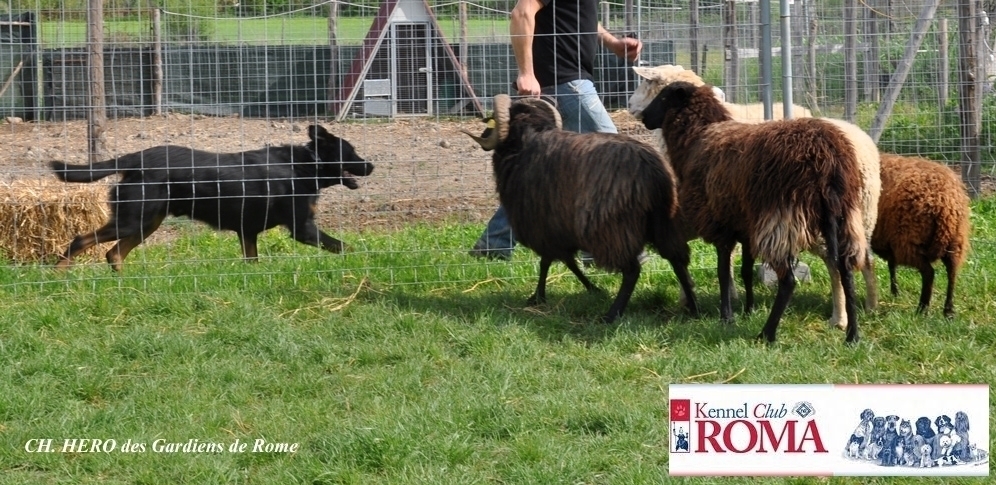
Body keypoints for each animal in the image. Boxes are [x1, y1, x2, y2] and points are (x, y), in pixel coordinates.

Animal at [50, 123, 372, 270]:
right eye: (352, 151)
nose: (371, 165)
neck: (307, 164)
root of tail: (136, 158)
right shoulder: (303, 228)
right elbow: (345, 247)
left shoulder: (247, 231)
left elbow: (252, 261)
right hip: (133, 219)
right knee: (80, 240)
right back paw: (59, 274)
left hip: (147, 222)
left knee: (114, 253)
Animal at [462, 93, 696, 324]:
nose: (483, 139)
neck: (524, 142)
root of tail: (653, 172)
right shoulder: (559, 229)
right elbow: (567, 262)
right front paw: (593, 289)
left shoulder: (544, 227)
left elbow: (550, 262)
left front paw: (539, 296)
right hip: (663, 223)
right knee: (677, 261)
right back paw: (693, 308)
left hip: (612, 230)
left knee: (632, 271)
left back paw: (611, 315)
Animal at [640, 81, 868, 342]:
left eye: (664, 97)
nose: (643, 116)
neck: (698, 137)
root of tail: (829, 157)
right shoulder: (745, 228)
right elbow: (745, 272)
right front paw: (748, 310)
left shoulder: (720, 224)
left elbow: (723, 273)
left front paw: (726, 317)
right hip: (846, 217)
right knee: (846, 272)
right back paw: (852, 335)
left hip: (782, 217)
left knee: (788, 280)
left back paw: (767, 334)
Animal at [876, 153, 968, 316]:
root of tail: (945, 202)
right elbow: (891, 264)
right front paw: (895, 292)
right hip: (956, 241)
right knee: (952, 272)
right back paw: (948, 310)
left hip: (909, 241)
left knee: (928, 272)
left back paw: (922, 308)